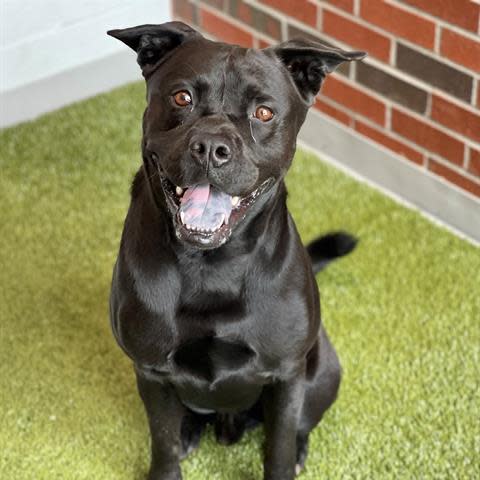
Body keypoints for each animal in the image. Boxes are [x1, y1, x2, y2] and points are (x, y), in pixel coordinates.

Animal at [108, 22, 364, 480]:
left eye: (263, 113)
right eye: (182, 97)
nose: (211, 147)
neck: (212, 266)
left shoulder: (286, 375)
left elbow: (278, 446)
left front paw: (286, 457)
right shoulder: (151, 371)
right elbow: (162, 441)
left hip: (322, 374)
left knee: (299, 425)